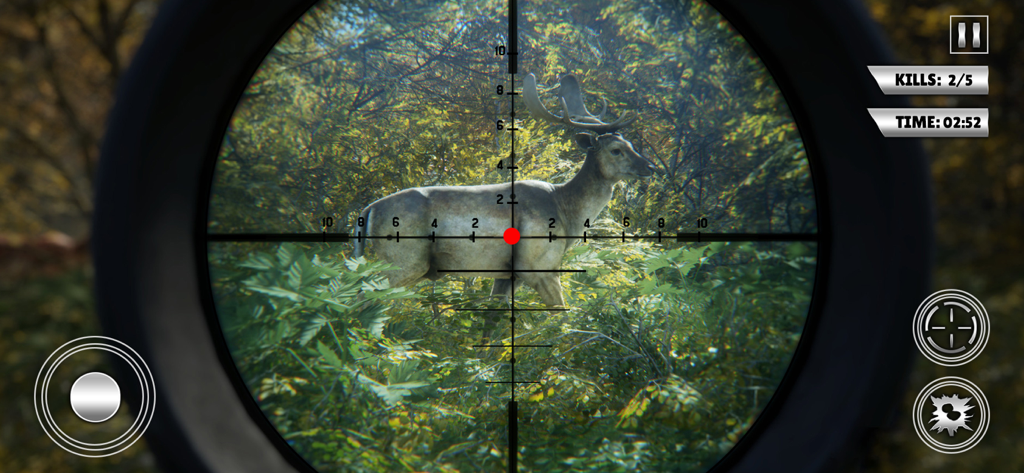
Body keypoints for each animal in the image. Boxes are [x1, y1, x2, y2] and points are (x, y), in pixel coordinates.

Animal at [352, 73, 655, 316]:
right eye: (616, 149)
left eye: (630, 143)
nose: (650, 166)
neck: (566, 212)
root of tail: (368, 211)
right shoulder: (538, 264)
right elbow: (561, 317)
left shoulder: (507, 273)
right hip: (403, 261)